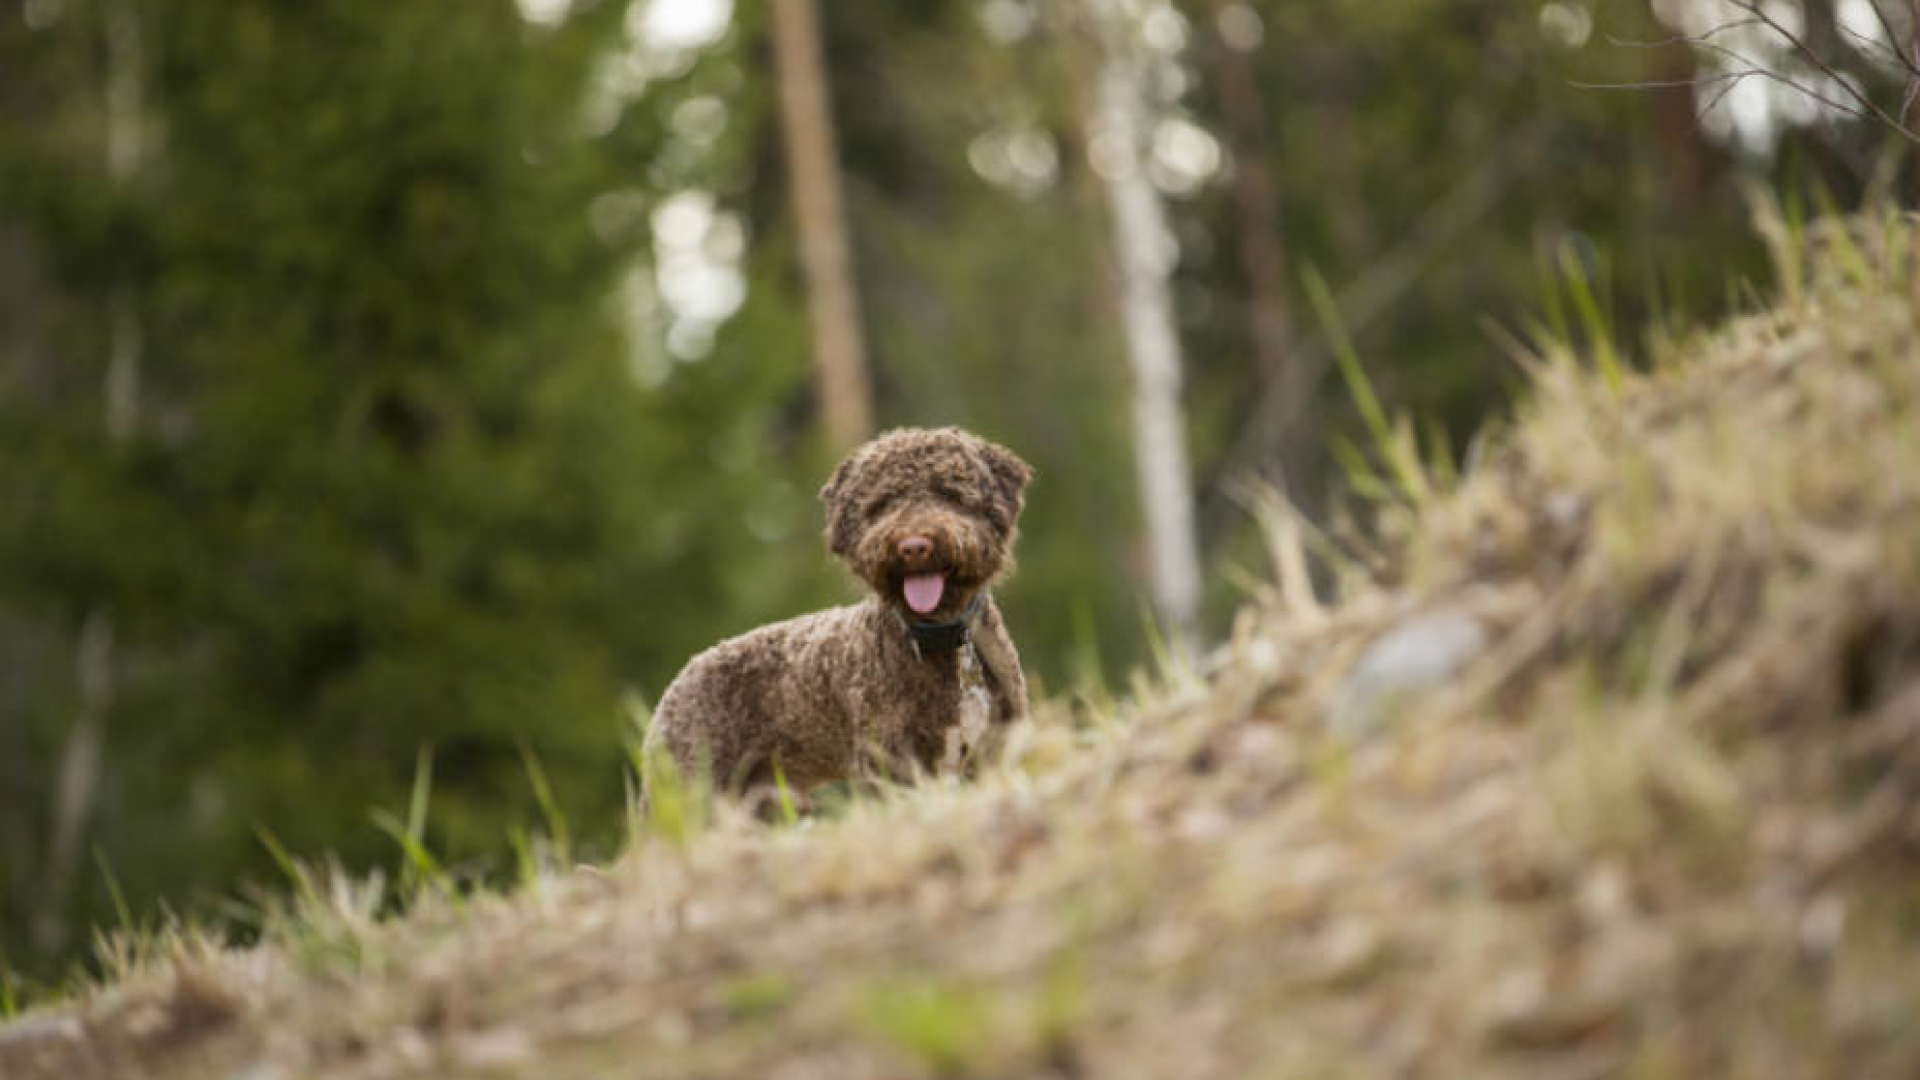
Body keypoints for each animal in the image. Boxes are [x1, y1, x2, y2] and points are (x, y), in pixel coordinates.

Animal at [645, 424, 1036, 795]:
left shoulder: (995, 753)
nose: (913, 547)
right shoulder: (887, 765)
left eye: (949, 493)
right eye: (882, 504)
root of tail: (675, 685)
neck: (941, 637)